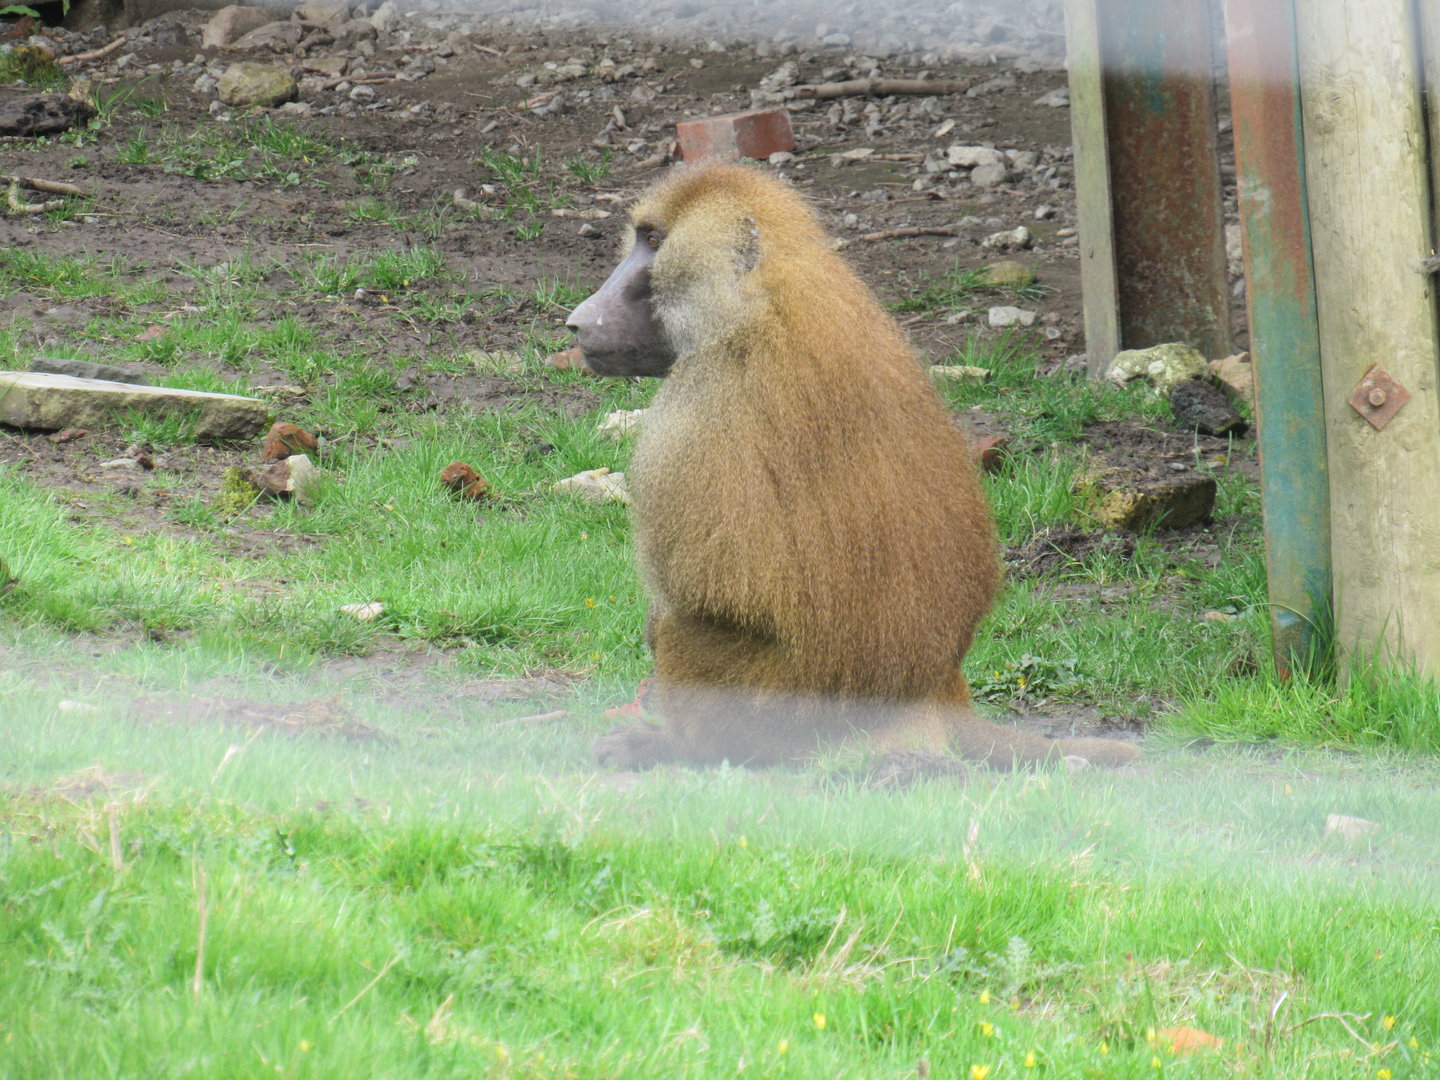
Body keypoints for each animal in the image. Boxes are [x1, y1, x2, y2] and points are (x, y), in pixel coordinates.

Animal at [566, 161, 1140, 771]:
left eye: (654, 241)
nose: (577, 322)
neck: (761, 295)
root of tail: (936, 685)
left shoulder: (692, 409)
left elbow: (706, 594)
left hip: (774, 707)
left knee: (682, 632)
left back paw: (679, 747)